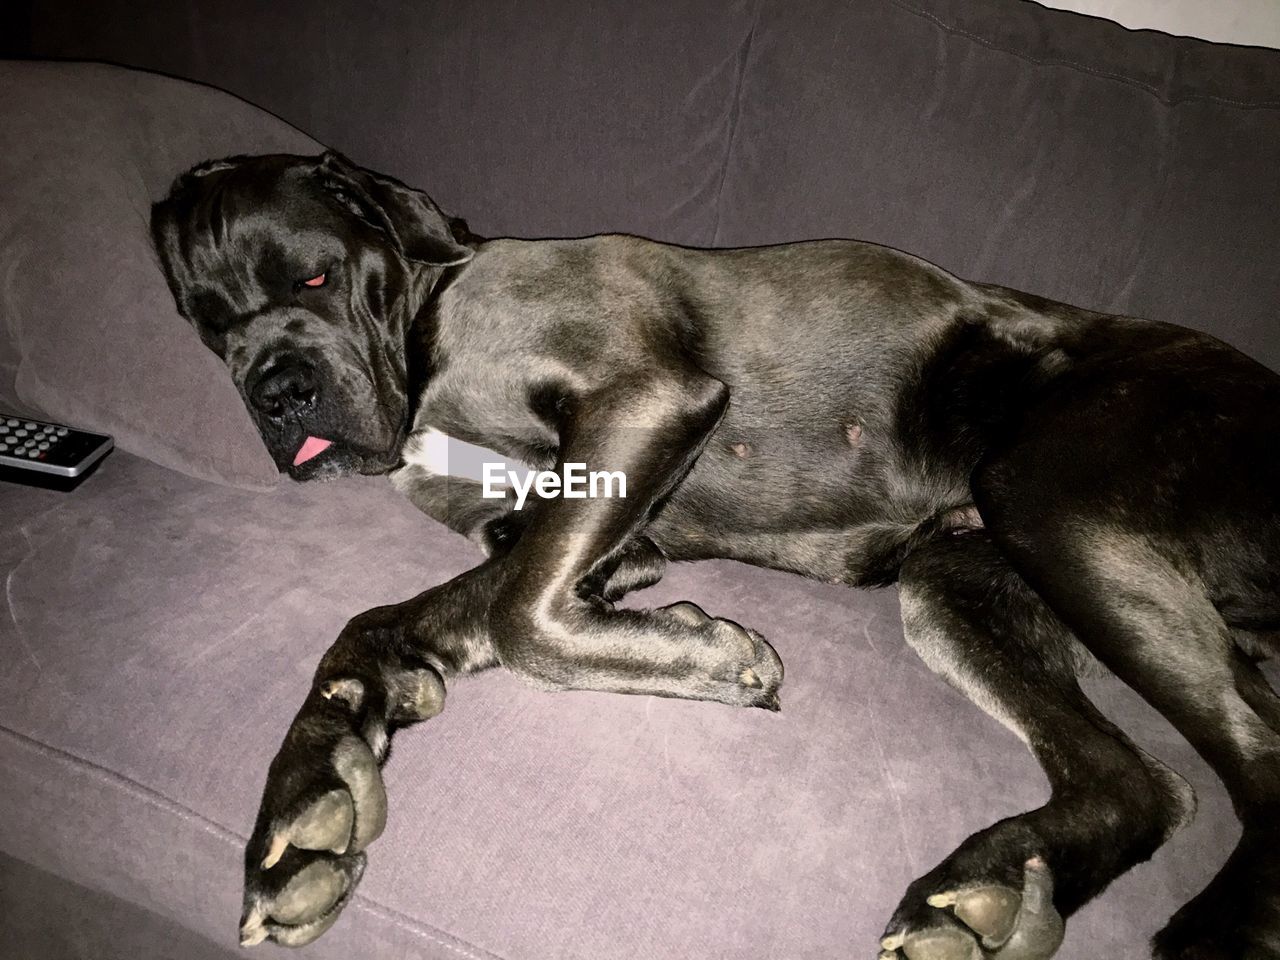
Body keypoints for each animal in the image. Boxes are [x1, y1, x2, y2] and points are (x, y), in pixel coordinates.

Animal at [152, 154, 1280, 957]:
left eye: (314, 273)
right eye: (208, 325)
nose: (279, 389)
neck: (425, 315)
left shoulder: (644, 402)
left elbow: (521, 617)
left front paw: (713, 658)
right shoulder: (577, 538)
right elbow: (394, 622)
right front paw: (309, 796)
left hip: (1054, 505)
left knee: (1255, 759)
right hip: (960, 580)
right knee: (1141, 785)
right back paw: (984, 900)